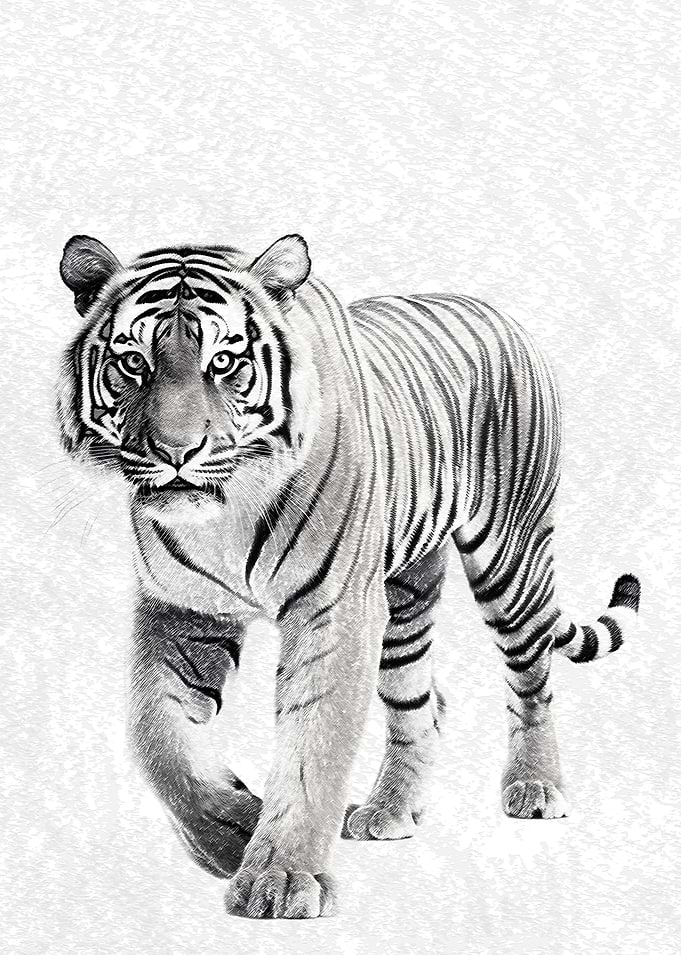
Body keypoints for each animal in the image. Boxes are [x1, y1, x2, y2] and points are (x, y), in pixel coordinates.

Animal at [57, 233, 641, 920]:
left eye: (224, 362)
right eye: (133, 363)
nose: (177, 452)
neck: (226, 514)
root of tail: (498, 312)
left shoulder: (333, 612)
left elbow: (314, 746)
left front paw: (281, 880)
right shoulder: (182, 612)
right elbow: (155, 739)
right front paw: (230, 833)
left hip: (509, 559)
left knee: (532, 679)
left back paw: (536, 787)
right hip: (403, 599)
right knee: (422, 702)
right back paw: (391, 811)